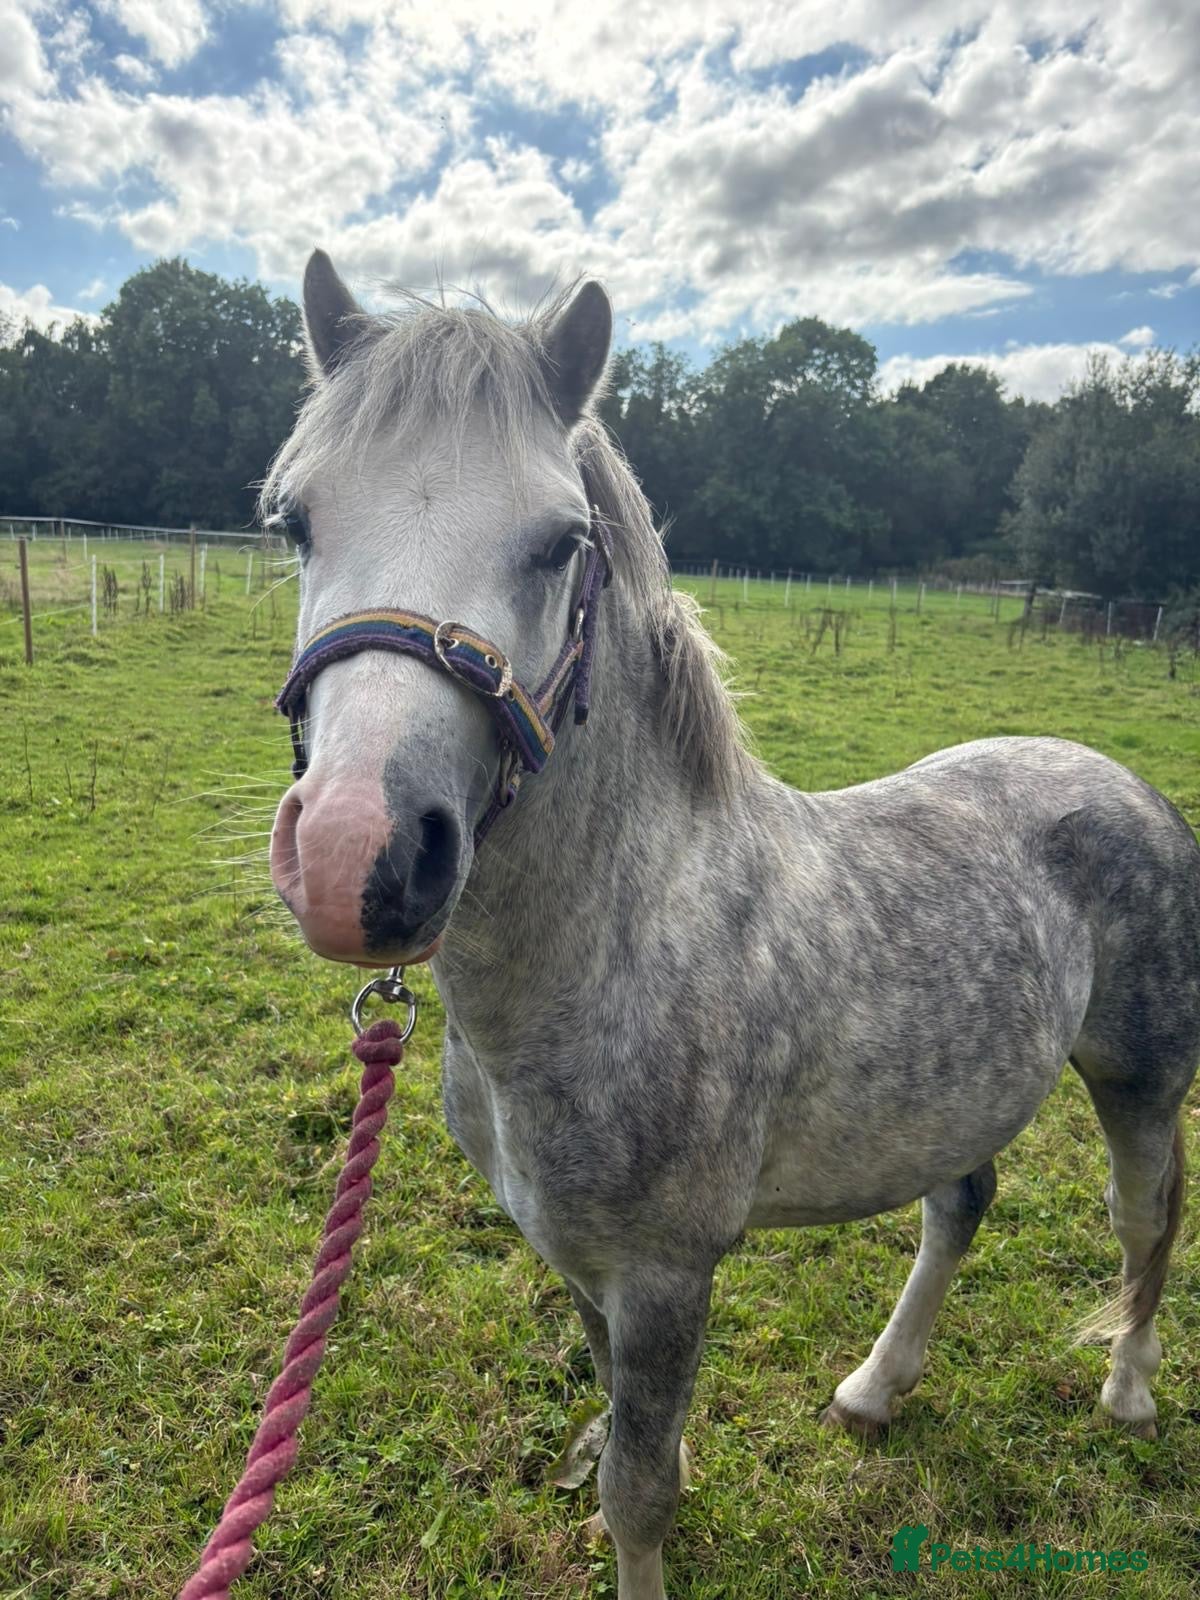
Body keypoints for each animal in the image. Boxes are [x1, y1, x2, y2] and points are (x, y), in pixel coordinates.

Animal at [264, 250, 1200, 1600]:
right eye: (295, 523)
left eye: (560, 542)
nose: (357, 857)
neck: (617, 946)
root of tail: (1126, 783)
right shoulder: (583, 1261)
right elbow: (622, 1428)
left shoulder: (665, 1274)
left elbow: (637, 1490)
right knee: (961, 1203)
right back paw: (874, 1388)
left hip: (1141, 1077)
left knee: (1144, 1218)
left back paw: (1126, 1391)